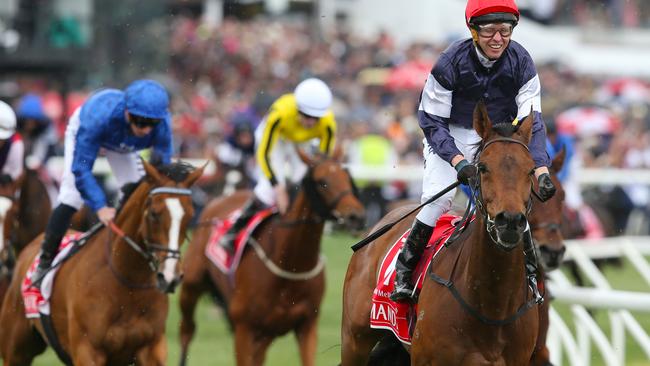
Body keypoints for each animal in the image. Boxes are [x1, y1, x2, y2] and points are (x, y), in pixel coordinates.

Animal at [0, 162, 202, 366]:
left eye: (189, 215)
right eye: (154, 214)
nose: (170, 276)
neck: (126, 282)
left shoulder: (153, 348)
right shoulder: (87, 351)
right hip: (16, 352)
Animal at [178, 149, 364, 366]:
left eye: (347, 177)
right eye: (322, 182)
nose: (356, 216)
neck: (289, 262)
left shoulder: (307, 325)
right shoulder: (245, 329)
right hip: (191, 286)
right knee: (187, 330)